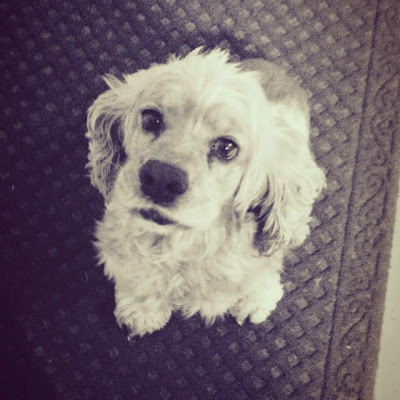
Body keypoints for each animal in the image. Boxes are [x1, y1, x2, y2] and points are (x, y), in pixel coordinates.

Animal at [86, 47, 326, 339]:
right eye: (150, 118)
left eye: (226, 147)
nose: (161, 179)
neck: (185, 245)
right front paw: (141, 310)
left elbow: (260, 276)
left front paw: (255, 301)